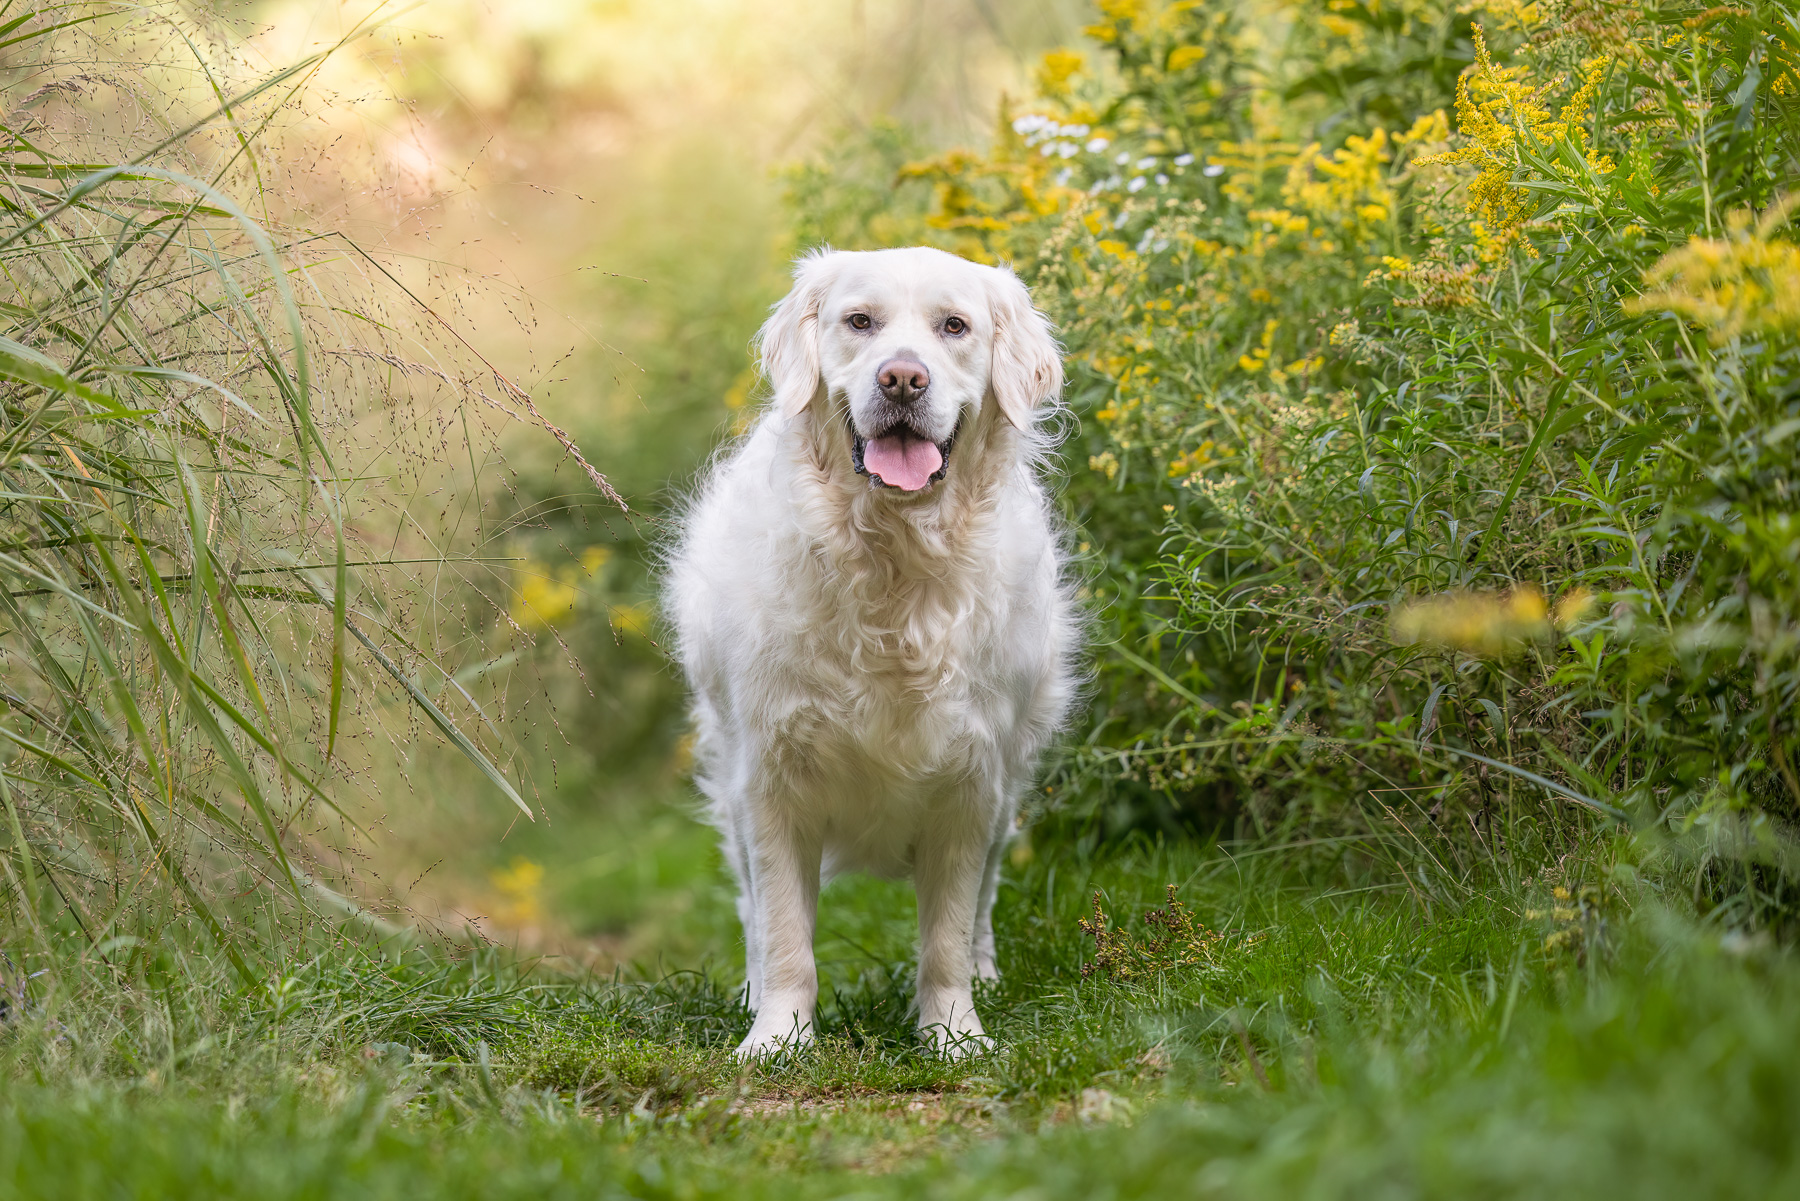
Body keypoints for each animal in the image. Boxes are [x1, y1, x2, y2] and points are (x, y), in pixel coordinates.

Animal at [669, 248, 1072, 1058]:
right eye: (859, 322)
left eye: (955, 326)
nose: (902, 379)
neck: (893, 565)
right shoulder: (771, 778)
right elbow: (786, 932)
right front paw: (777, 1036)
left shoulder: (971, 780)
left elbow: (947, 933)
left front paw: (955, 1034)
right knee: (755, 910)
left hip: (1011, 783)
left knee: (983, 902)